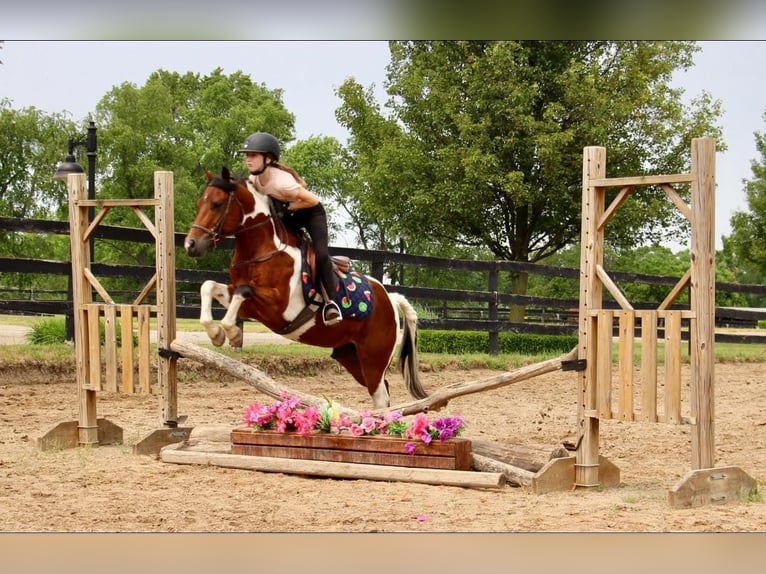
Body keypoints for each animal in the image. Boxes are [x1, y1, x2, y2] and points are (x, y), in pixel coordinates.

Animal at [183, 166, 428, 410]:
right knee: (381, 391)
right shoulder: (247, 303)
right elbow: (209, 287)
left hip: (373, 357)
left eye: (217, 204)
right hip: (350, 355)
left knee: (381, 396)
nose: (190, 245)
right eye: (199, 203)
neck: (263, 251)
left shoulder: (276, 308)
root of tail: (389, 298)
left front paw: (231, 333)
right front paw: (217, 334)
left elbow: (243, 292)